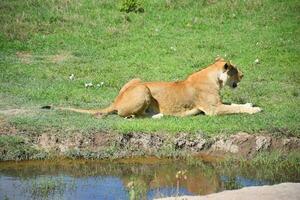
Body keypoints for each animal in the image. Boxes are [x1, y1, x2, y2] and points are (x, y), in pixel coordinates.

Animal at [42, 57, 262, 118]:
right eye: (235, 69)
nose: (243, 75)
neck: (213, 77)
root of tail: (116, 100)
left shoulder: (218, 103)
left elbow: (233, 103)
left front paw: (251, 104)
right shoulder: (213, 110)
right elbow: (235, 107)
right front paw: (255, 109)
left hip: (136, 79)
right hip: (143, 90)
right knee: (128, 115)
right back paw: (157, 115)